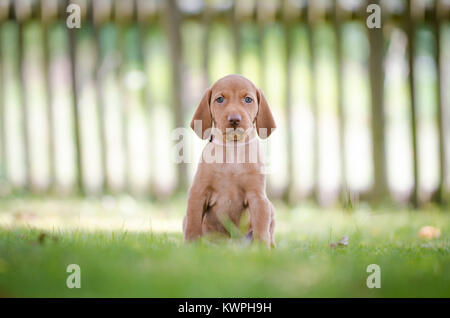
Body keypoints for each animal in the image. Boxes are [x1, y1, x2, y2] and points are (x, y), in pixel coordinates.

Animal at [184, 75, 276, 248]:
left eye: (248, 99)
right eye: (220, 99)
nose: (234, 119)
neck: (232, 149)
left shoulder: (257, 197)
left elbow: (261, 229)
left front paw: (261, 250)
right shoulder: (198, 192)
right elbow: (193, 225)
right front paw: (190, 248)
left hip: (270, 207)